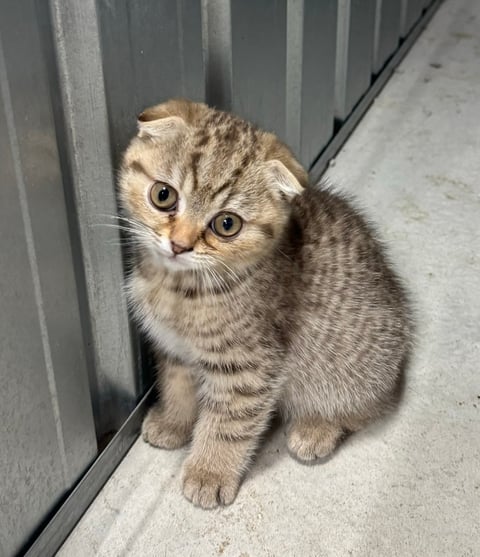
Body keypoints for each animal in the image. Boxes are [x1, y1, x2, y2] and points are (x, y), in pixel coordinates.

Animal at [118, 97, 410, 506]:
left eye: (227, 224)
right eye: (163, 195)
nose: (179, 244)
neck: (179, 288)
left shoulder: (249, 367)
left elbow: (228, 423)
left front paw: (209, 472)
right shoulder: (175, 350)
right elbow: (176, 386)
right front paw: (173, 423)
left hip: (352, 369)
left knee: (365, 409)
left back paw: (316, 429)